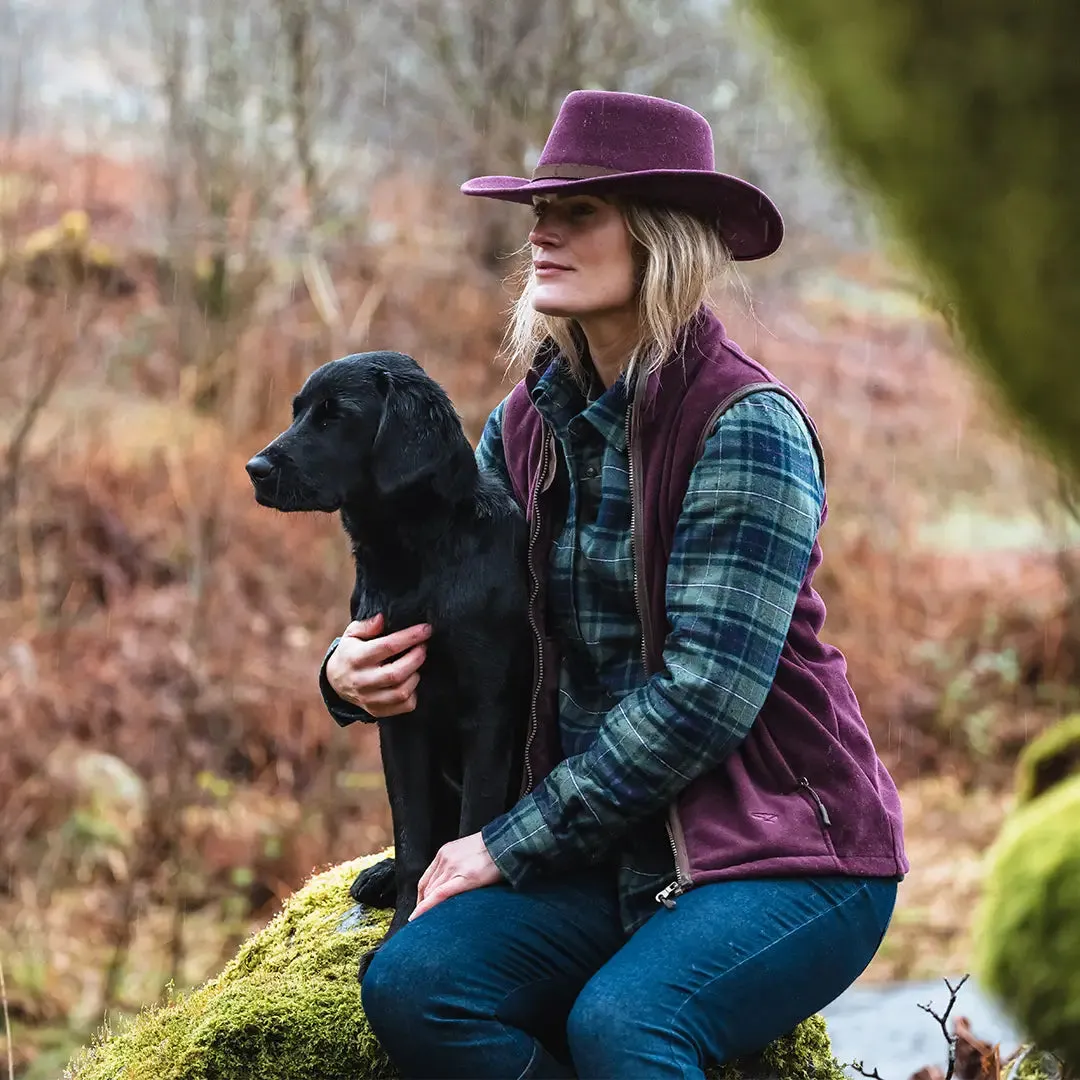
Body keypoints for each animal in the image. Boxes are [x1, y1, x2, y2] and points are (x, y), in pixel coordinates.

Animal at [246, 347, 531, 980]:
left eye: (335, 416)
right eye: (298, 410)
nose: (254, 468)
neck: (417, 555)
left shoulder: (489, 713)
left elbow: (467, 831)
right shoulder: (400, 713)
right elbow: (413, 840)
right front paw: (401, 921)